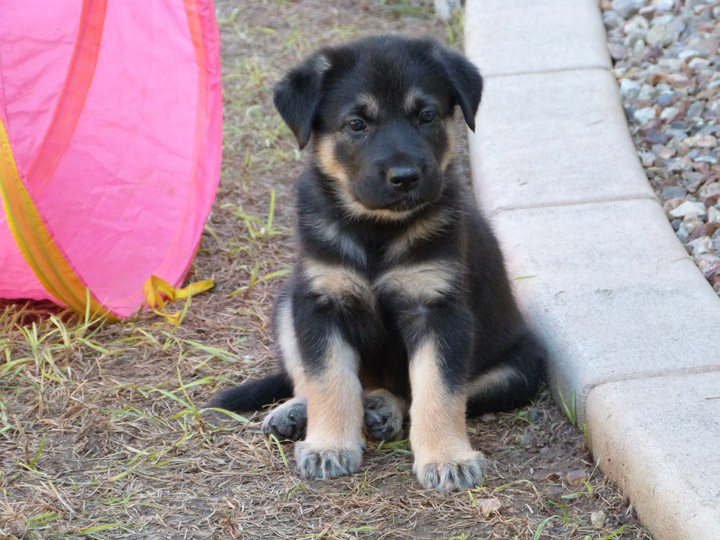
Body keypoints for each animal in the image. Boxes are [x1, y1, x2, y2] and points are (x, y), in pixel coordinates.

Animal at [211, 32, 544, 490]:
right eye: (357, 124)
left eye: (426, 116)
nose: (406, 177)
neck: (376, 231)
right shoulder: (318, 302)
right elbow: (328, 379)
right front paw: (330, 446)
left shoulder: (438, 311)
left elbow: (437, 391)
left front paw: (447, 458)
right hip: (285, 302)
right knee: (317, 378)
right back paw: (296, 411)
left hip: (522, 367)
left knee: (410, 392)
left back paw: (383, 406)